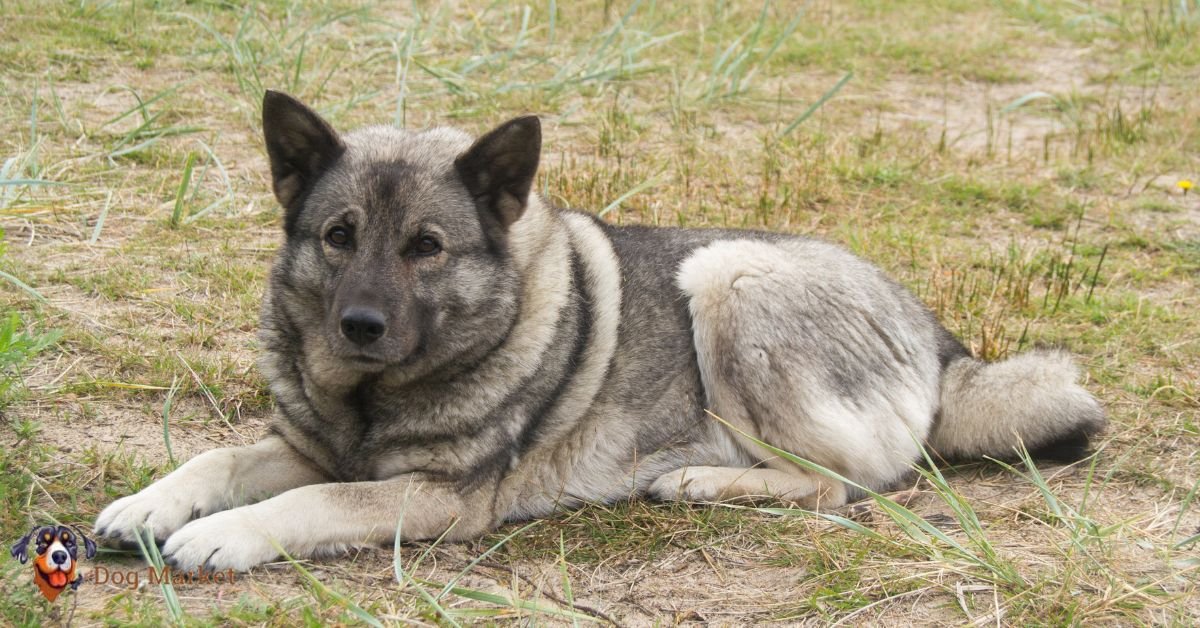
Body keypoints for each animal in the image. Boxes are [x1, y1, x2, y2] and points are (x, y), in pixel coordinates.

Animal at [93, 89, 1104, 573]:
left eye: (426, 247)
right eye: (339, 236)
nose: (360, 326)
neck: (372, 401)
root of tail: (940, 340)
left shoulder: (436, 499)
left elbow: (311, 504)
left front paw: (228, 536)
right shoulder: (308, 447)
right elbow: (219, 459)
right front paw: (149, 505)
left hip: (729, 275)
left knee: (844, 485)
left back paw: (703, 480)